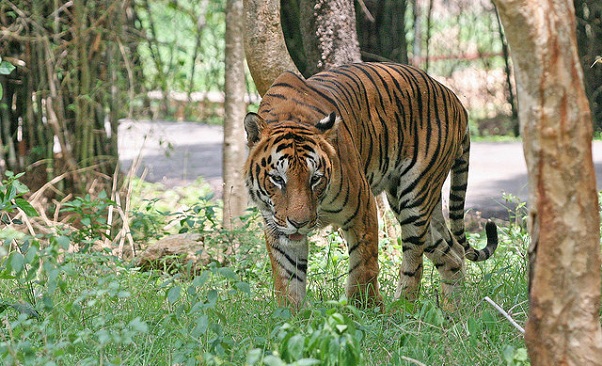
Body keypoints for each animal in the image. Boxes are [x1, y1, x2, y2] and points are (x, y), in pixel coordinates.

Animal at [241, 61, 494, 310]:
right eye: (278, 179)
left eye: (315, 178)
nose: (299, 223)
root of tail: (455, 99)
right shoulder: (276, 226)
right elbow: (288, 278)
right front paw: (292, 316)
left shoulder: (362, 208)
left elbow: (363, 266)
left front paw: (365, 309)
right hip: (409, 202)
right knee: (454, 254)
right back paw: (453, 311)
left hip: (416, 196)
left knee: (414, 260)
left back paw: (402, 308)